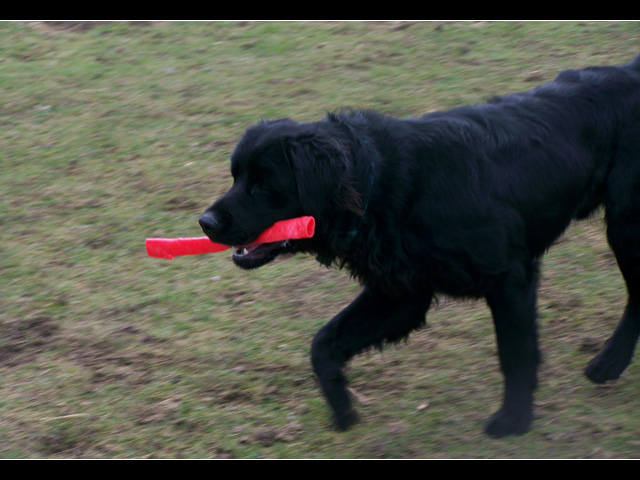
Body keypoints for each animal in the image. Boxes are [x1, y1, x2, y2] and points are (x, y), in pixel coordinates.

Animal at [199, 55, 640, 436]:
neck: (382, 185)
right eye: (235, 177)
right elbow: (324, 343)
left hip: (625, 226)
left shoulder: (509, 275)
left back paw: (608, 362)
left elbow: (514, 352)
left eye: (262, 186)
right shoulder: (401, 292)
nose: (205, 222)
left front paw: (514, 419)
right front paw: (343, 409)